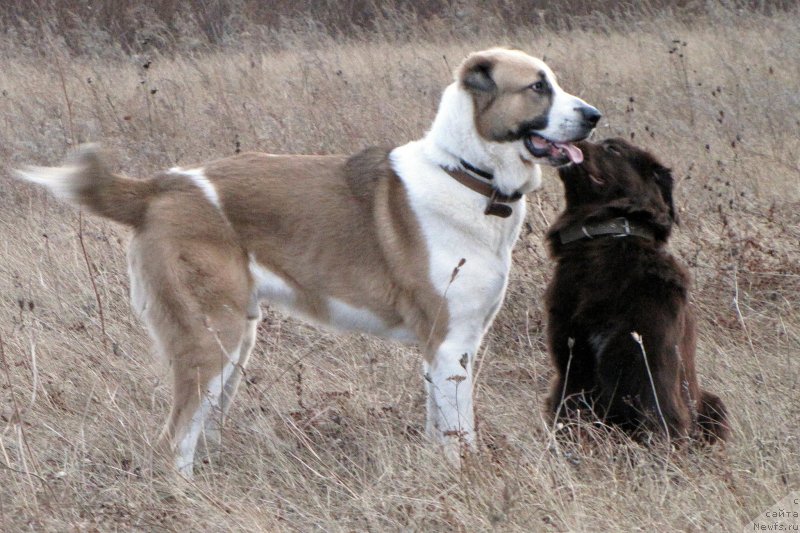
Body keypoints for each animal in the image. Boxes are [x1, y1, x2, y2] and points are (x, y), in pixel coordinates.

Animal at [14, 48, 600, 474]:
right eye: (538, 87)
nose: (595, 115)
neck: (466, 172)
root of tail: (159, 187)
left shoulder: (446, 350)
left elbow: (440, 430)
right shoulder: (449, 343)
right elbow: (461, 438)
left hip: (235, 344)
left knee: (197, 430)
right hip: (212, 338)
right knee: (173, 440)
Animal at [544, 138, 732, 444]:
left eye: (613, 148)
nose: (571, 140)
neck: (605, 240)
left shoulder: (652, 363)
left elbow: (660, 420)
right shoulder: (571, 366)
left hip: (713, 403)